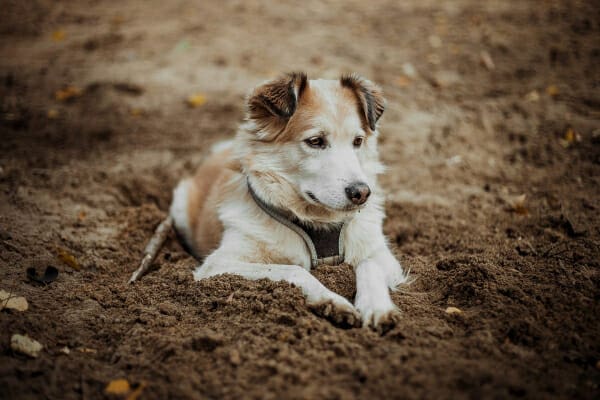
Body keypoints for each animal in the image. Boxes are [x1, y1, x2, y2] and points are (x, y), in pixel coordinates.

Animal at [171, 73, 410, 330]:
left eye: (358, 141)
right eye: (315, 141)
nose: (362, 193)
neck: (318, 220)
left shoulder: (382, 255)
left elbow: (369, 265)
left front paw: (377, 307)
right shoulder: (219, 264)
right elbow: (295, 269)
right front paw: (331, 300)